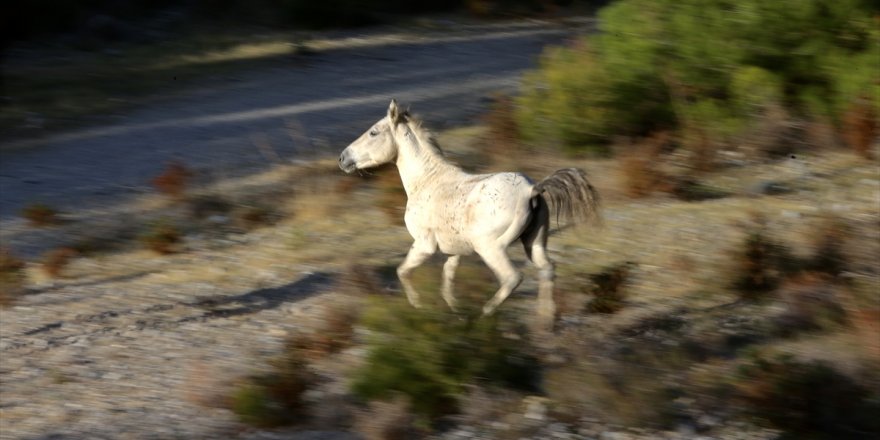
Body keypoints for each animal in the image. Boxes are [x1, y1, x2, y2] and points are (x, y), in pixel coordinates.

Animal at [336, 99, 600, 326]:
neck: (428, 181)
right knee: (547, 270)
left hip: (490, 248)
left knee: (512, 278)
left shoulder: (424, 245)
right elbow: (447, 281)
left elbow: (403, 272)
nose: (343, 158)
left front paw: (419, 308)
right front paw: (455, 313)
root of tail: (531, 190)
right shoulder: (455, 251)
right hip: (534, 243)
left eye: (373, 132)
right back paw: (545, 323)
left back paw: (485, 316)